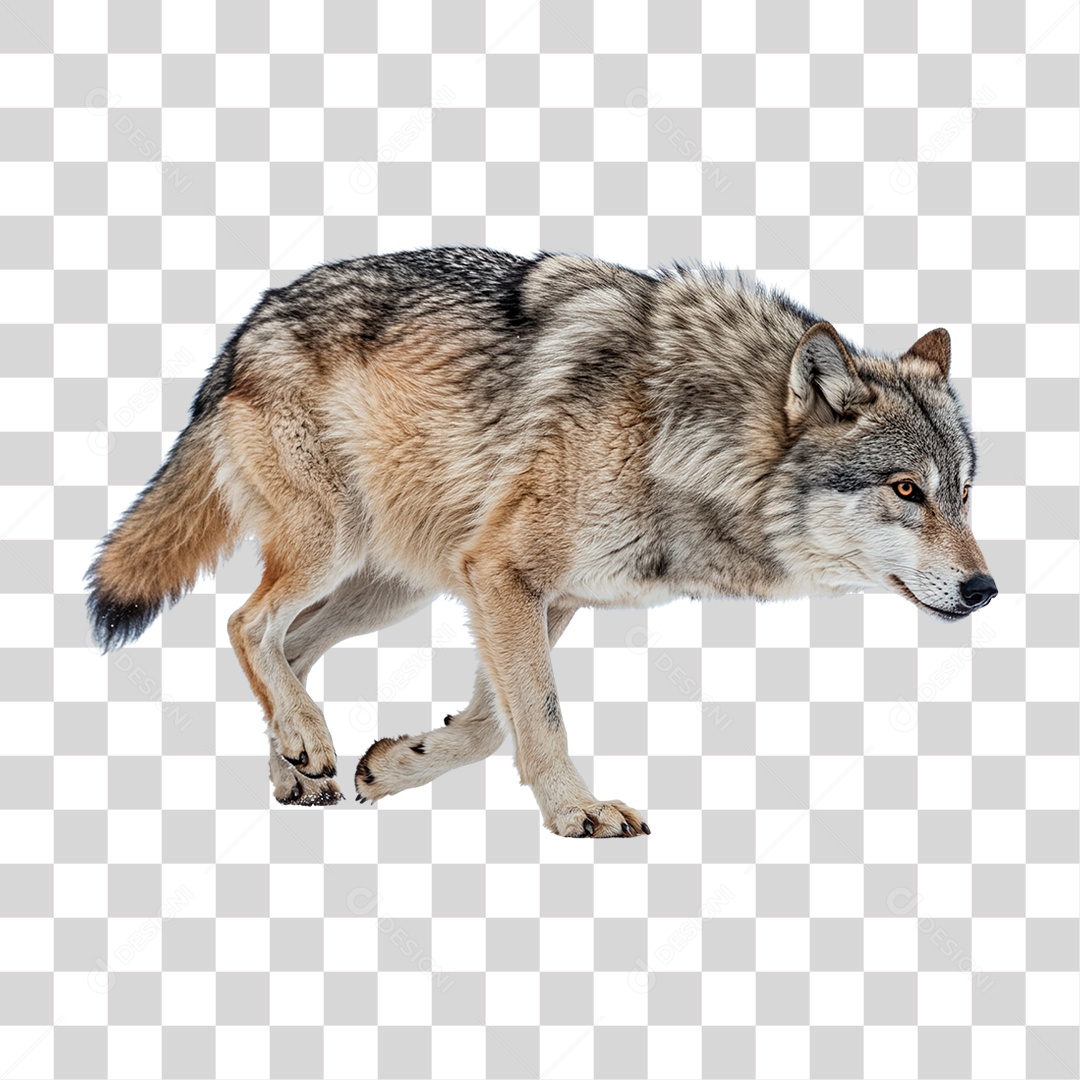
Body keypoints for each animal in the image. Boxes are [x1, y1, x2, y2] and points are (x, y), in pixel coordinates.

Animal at [86, 247, 996, 836]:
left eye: (961, 492)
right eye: (906, 490)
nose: (985, 590)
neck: (682, 434)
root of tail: (246, 324)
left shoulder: (543, 597)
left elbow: (496, 724)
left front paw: (395, 763)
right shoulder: (503, 575)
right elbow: (540, 718)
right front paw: (576, 812)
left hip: (393, 588)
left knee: (292, 643)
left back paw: (300, 761)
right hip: (334, 546)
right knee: (246, 623)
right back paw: (306, 742)